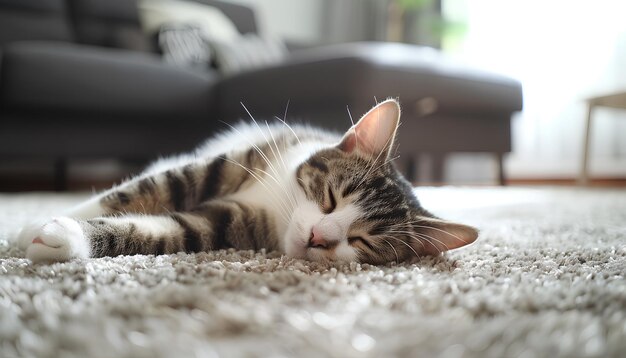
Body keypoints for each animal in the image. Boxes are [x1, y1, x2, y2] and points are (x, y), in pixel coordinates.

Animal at [18, 99, 478, 264]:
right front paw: (29, 225)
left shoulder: (230, 222)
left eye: (362, 241)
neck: (278, 205)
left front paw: (65, 237)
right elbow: (152, 188)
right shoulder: (239, 161)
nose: (318, 236)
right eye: (331, 198)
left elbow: (171, 231)